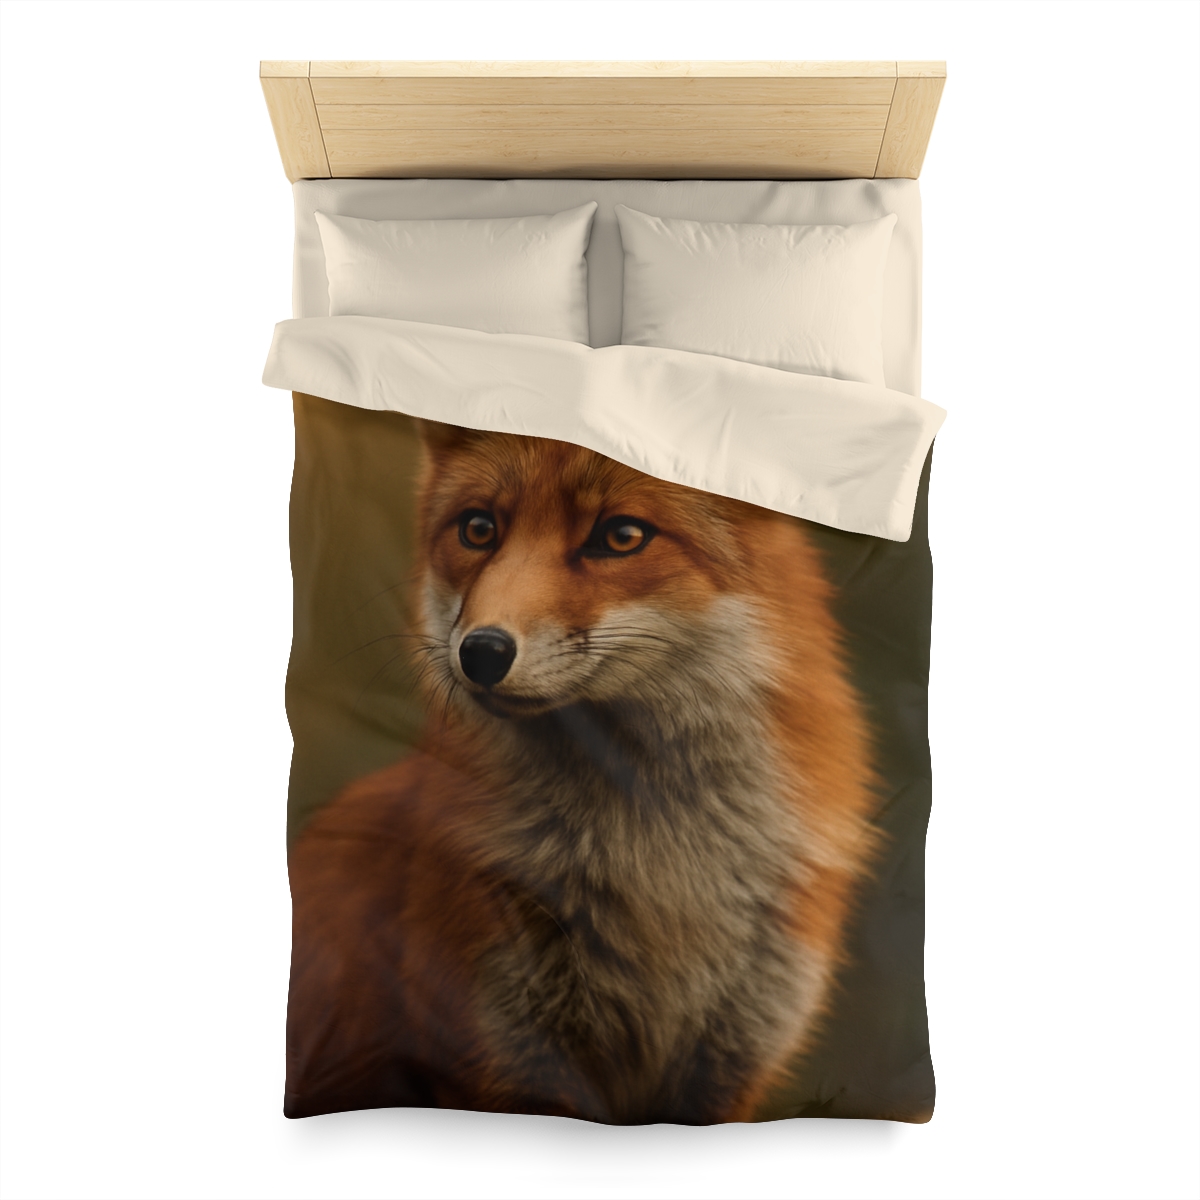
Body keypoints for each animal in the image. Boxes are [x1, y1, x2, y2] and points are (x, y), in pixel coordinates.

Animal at [284, 422, 878, 1123]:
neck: (659, 875)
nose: (481, 652)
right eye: (478, 528)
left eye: (621, 536)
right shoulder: (505, 1052)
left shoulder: (731, 1061)